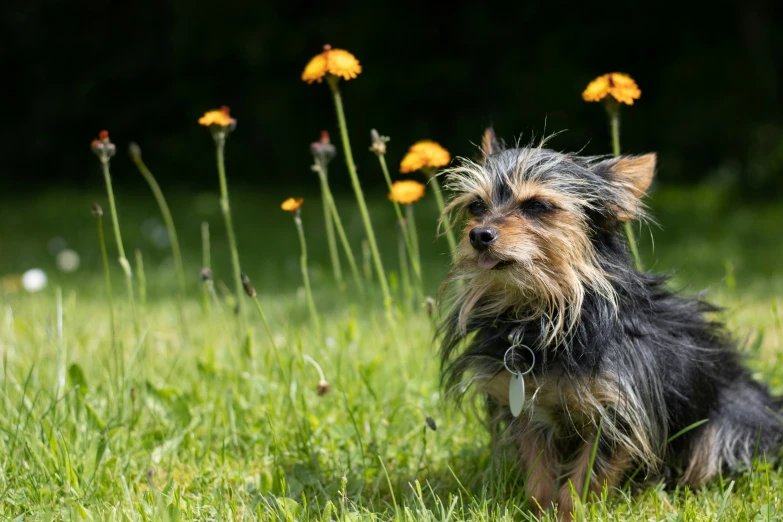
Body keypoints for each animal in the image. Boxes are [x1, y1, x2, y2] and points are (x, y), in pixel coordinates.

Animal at [440, 130, 783, 516]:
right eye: (476, 206)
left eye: (537, 206)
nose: (479, 235)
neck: (544, 313)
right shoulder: (525, 409)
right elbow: (539, 479)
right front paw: (539, 512)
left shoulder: (618, 414)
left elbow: (583, 480)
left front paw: (570, 514)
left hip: (730, 427)